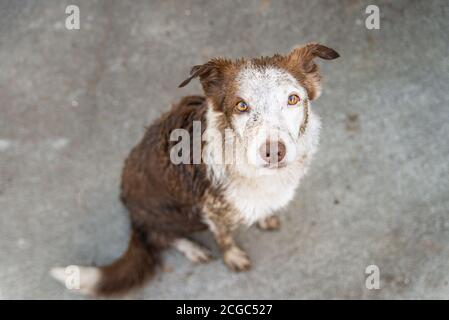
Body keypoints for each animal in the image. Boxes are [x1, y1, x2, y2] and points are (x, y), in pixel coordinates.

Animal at [50, 43, 336, 298]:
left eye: (293, 99)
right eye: (241, 105)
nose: (274, 151)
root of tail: (131, 212)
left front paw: (265, 217)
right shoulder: (212, 211)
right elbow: (224, 238)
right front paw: (232, 257)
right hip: (175, 215)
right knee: (160, 236)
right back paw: (191, 248)